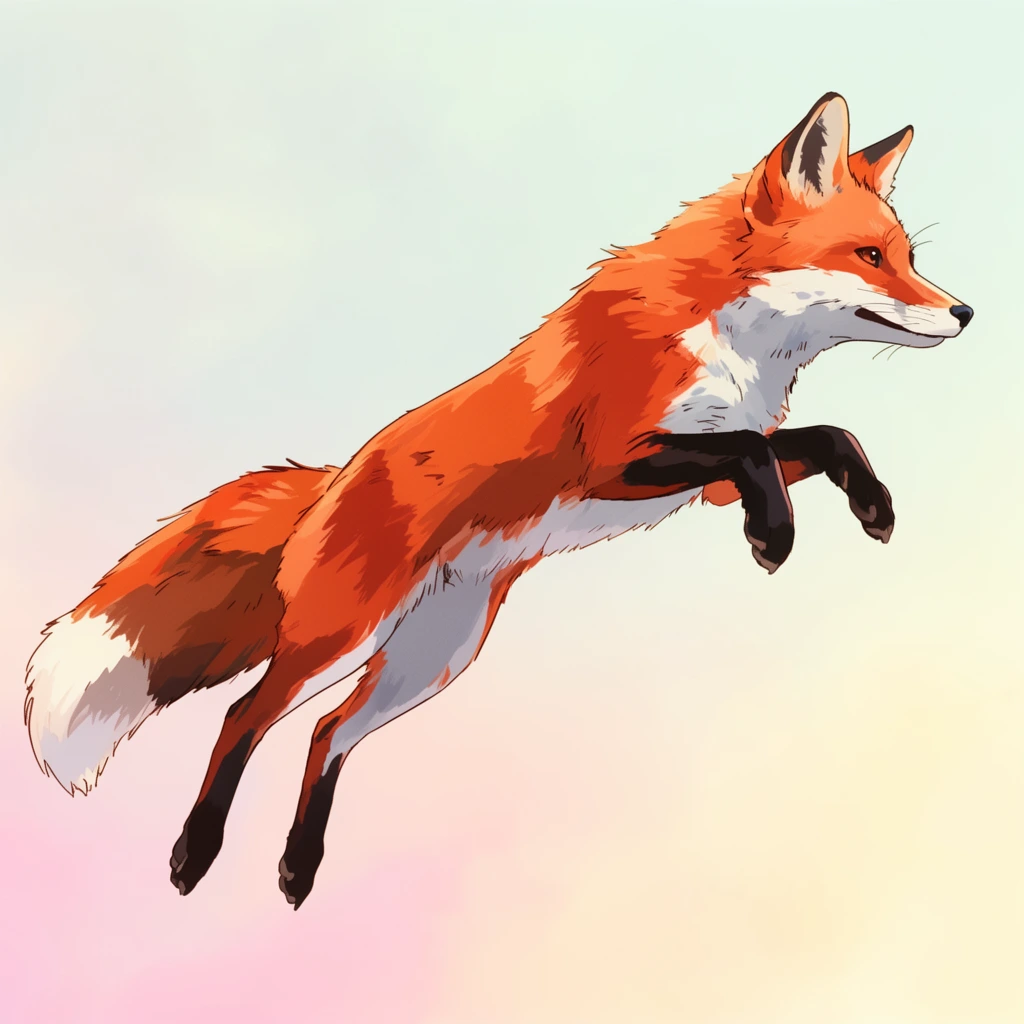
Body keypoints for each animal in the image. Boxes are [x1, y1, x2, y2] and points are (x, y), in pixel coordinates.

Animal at [25, 92, 972, 908]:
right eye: (872, 257)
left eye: (910, 257)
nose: (965, 312)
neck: (733, 342)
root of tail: (334, 475)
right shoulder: (616, 459)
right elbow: (757, 453)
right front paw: (774, 534)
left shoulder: (702, 478)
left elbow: (824, 438)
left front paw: (873, 507)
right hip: (344, 635)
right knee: (243, 715)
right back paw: (195, 854)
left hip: (432, 659)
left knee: (326, 731)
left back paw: (298, 868)